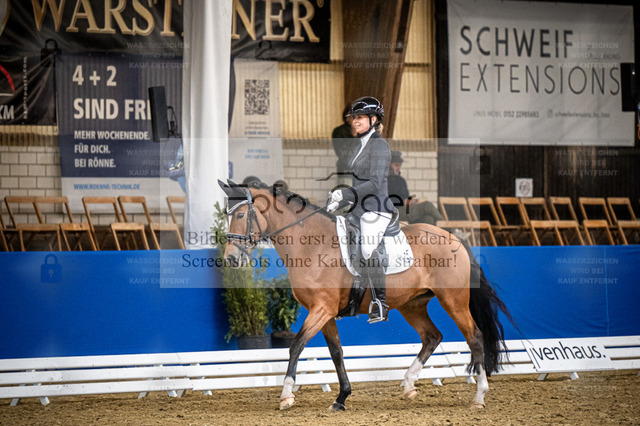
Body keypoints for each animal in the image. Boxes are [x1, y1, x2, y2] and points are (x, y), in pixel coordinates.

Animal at [218, 180, 513, 411]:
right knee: (432, 336)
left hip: (453, 300)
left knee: (475, 338)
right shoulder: (325, 313)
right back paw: (408, 384)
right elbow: (336, 352)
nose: (231, 258)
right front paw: (341, 398)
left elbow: (296, 345)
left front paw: (287, 395)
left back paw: (479, 396)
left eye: (241, 216)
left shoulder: (321, 309)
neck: (311, 245)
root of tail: (455, 238)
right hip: (412, 304)